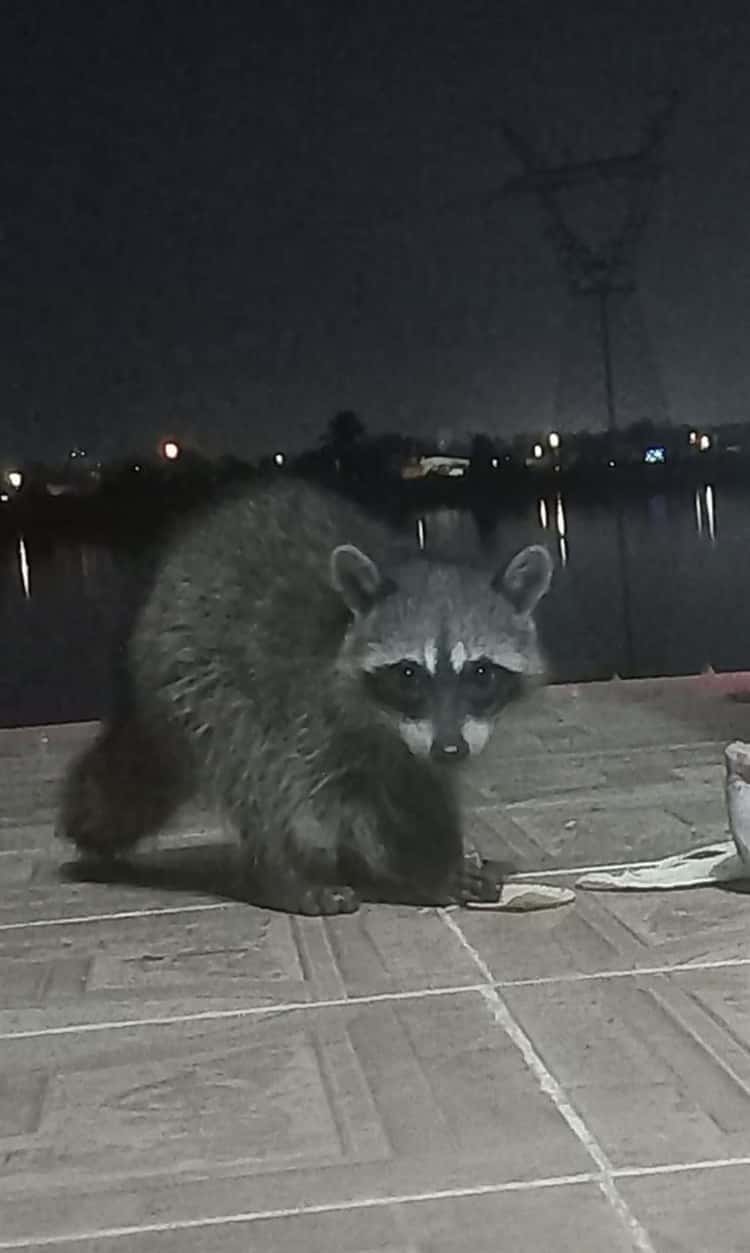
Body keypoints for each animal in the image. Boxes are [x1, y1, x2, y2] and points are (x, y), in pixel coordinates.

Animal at [61, 476, 553, 912]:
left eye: (482, 673)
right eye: (409, 674)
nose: (450, 749)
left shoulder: (429, 742)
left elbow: (425, 785)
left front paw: (442, 846)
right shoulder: (309, 711)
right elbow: (335, 799)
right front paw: (423, 868)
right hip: (195, 674)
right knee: (254, 769)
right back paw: (282, 874)